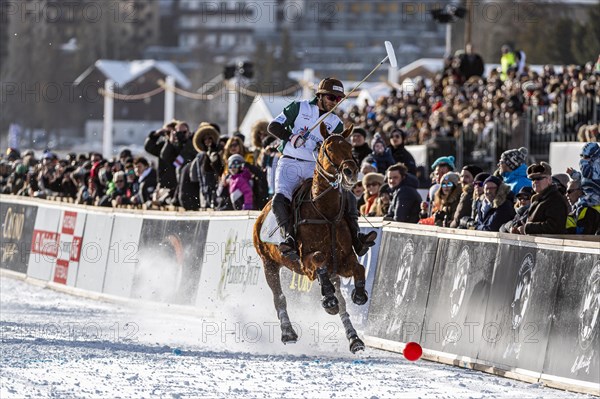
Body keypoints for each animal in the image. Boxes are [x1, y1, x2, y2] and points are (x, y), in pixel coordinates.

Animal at [251, 124, 368, 354]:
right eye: (328, 148)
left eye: (350, 147)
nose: (350, 172)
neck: (326, 211)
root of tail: (263, 212)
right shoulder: (306, 263)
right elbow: (318, 259)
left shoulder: (343, 261)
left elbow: (359, 268)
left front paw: (359, 294)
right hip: (269, 263)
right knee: (279, 298)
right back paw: (288, 333)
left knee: (341, 302)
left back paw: (354, 338)